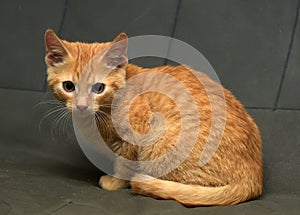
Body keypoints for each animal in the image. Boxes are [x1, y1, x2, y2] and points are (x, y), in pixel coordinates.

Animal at [44, 29, 262, 207]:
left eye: (99, 88)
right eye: (69, 86)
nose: (81, 106)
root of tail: (254, 177)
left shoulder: (138, 131)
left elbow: (124, 162)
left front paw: (115, 181)